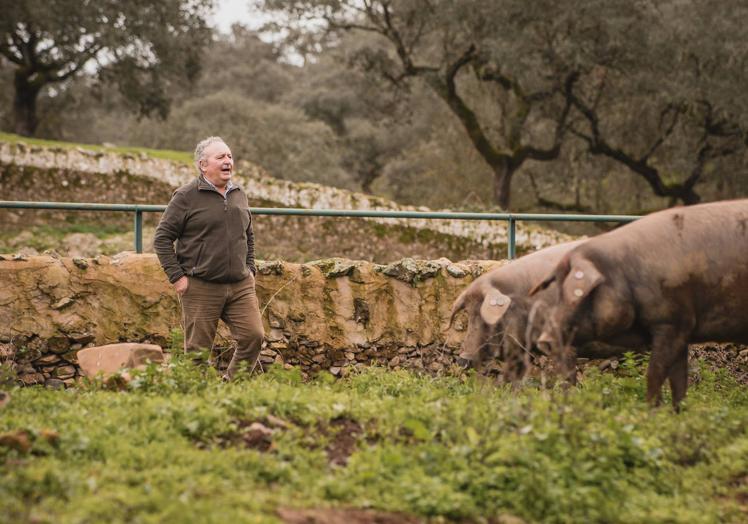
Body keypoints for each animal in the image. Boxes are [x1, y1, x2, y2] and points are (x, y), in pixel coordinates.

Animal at [528, 199, 748, 408]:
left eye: (576, 296)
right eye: (556, 292)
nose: (544, 339)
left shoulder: (672, 323)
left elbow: (654, 375)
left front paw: (651, 411)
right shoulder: (681, 330)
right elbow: (678, 383)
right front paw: (676, 413)